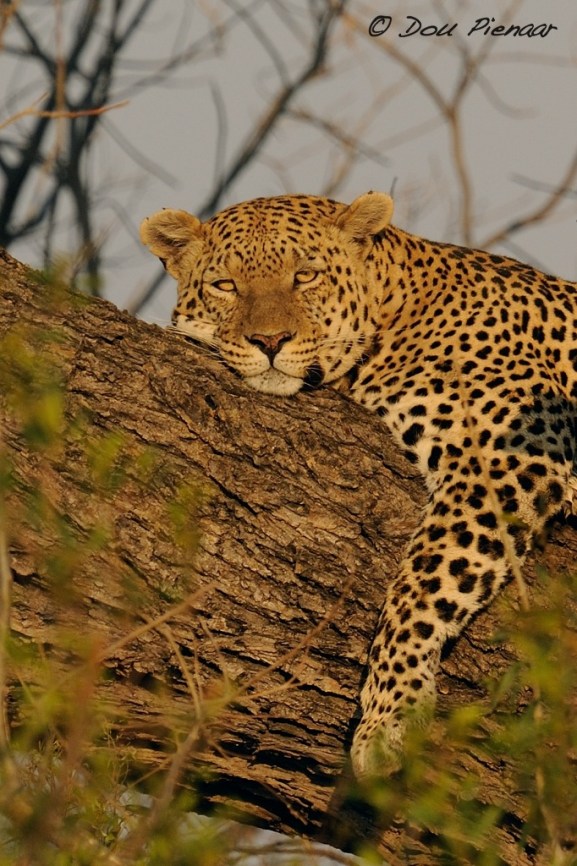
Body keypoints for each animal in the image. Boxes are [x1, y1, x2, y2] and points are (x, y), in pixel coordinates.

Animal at [140, 192, 577, 779]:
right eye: (225, 285)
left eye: (305, 275)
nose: (270, 341)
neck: (398, 309)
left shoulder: (514, 450)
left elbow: (426, 579)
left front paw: (391, 714)